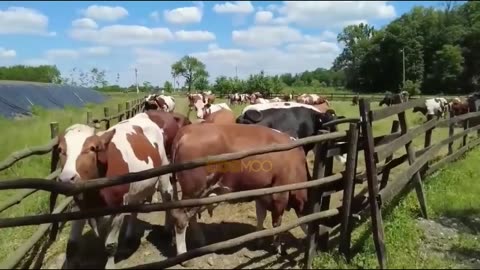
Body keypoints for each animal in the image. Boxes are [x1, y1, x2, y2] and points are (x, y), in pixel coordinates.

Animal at [58, 110, 178, 268]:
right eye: (60, 150)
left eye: (92, 148)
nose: (67, 179)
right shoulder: (78, 208)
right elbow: (71, 246)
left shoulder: (118, 210)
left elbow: (110, 245)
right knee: (135, 207)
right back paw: (129, 238)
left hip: (164, 170)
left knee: (167, 197)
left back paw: (167, 231)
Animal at [171, 124, 310, 255]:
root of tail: (186, 130)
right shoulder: (280, 192)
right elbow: (277, 222)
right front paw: (278, 247)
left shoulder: (261, 192)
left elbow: (261, 217)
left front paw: (258, 240)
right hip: (194, 191)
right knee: (181, 218)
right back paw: (183, 254)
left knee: (191, 217)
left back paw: (200, 242)